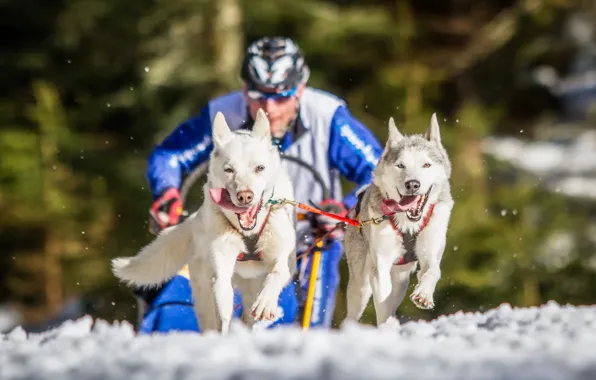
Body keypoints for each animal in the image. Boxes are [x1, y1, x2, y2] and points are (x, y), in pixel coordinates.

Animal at [110, 109, 296, 332]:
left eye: (259, 168)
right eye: (229, 170)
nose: (245, 196)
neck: (249, 232)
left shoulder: (281, 255)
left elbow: (277, 273)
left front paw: (266, 303)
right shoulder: (220, 267)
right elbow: (223, 305)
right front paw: (225, 332)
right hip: (203, 288)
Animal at [342, 113, 454, 326]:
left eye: (426, 164)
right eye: (400, 165)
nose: (412, 184)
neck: (409, 226)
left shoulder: (430, 251)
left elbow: (433, 271)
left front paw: (423, 295)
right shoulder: (380, 266)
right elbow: (383, 303)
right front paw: (386, 326)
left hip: (401, 279)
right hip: (360, 284)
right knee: (353, 311)